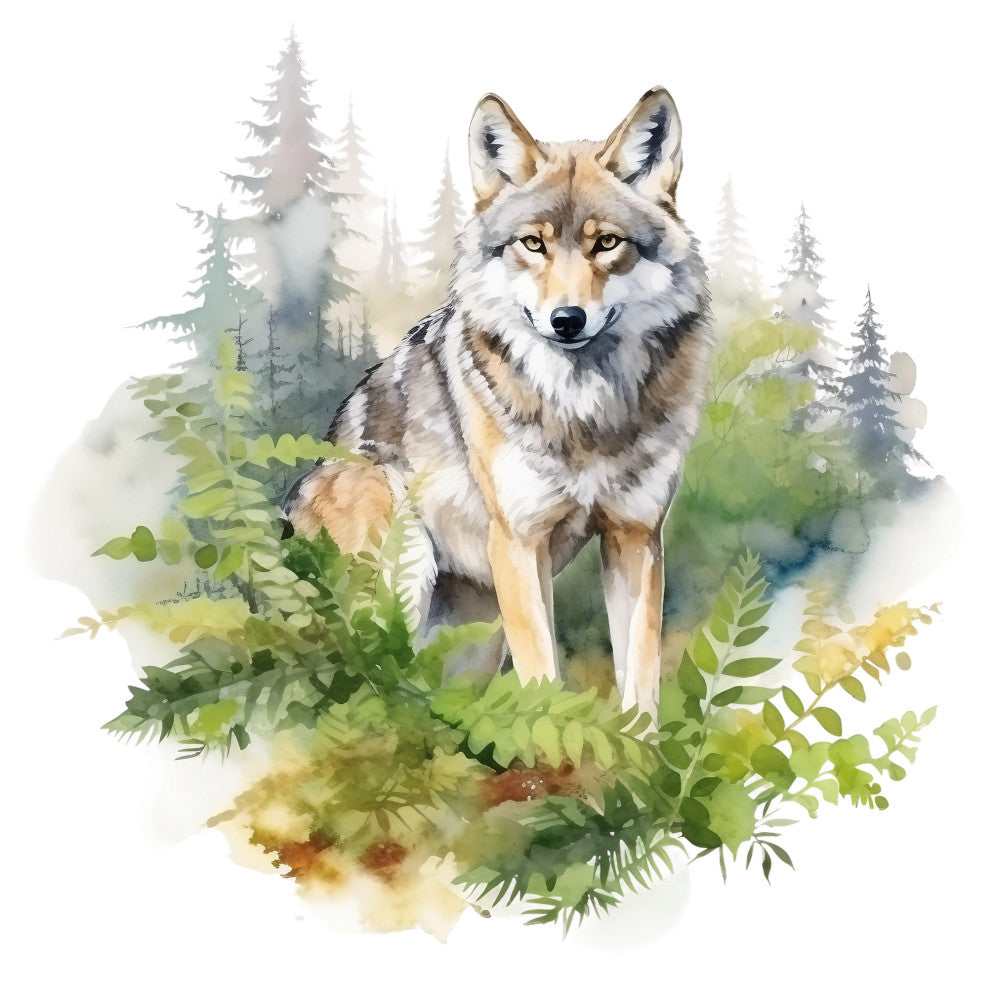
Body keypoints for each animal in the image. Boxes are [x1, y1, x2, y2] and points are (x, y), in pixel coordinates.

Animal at [285, 87, 712, 721]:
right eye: (533, 244)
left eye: (607, 243)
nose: (567, 319)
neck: (584, 412)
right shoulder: (519, 543)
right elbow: (543, 678)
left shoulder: (635, 537)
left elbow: (640, 684)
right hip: (401, 557)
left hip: (477, 640)